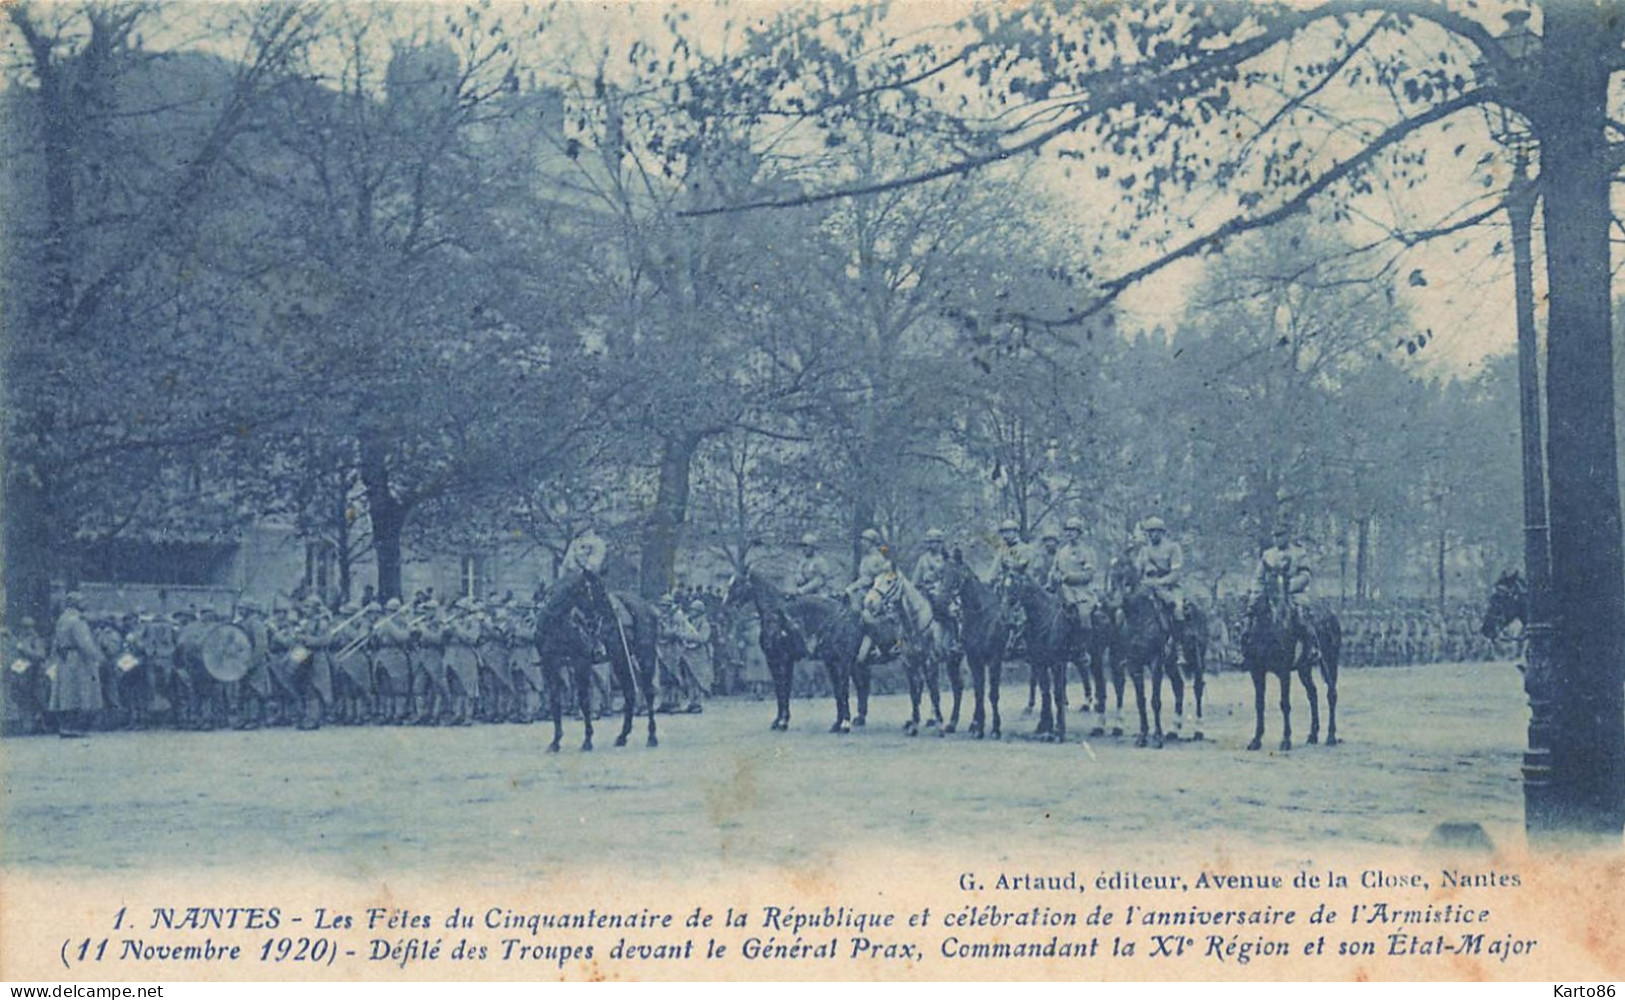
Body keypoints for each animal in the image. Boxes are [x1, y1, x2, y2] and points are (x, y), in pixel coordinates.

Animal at [533, 572, 659, 751]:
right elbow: (555, 700)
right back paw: (622, 736)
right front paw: (556, 741)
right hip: (621, 660)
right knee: (629, 692)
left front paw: (587, 739)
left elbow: (584, 700)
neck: (557, 624)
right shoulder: (550, 664)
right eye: (599, 589)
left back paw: (652, 737)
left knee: (648, 692)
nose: (614, 612)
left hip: (645, 657)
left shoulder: (581, 663)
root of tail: (649, 608)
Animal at [728, 572, 871, 734]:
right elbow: (782, 690)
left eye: (738, 583)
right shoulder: (782, 661)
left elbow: (782, 689)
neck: (775, 615)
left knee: (845, 688)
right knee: (847, 688)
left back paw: (845, 724)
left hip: (843, 662)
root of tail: (855, 615)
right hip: (836, 662)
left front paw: (782, 722)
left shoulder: (779, 660)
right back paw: (841, 723)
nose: (726, 603)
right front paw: (780, 720)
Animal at [1241, 572, 1345, 751]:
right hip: (1304, 669)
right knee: (1313, 694)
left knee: (1331, 694)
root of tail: (1330, 615)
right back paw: (1313, 735)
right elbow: (1259, 704)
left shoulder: (1284, 673)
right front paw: (1256, 740)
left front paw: (1286, 740)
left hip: (1330, 663)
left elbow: (1285, 704)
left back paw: (1331, 736)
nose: (1245, 635)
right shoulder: (1257, 672)